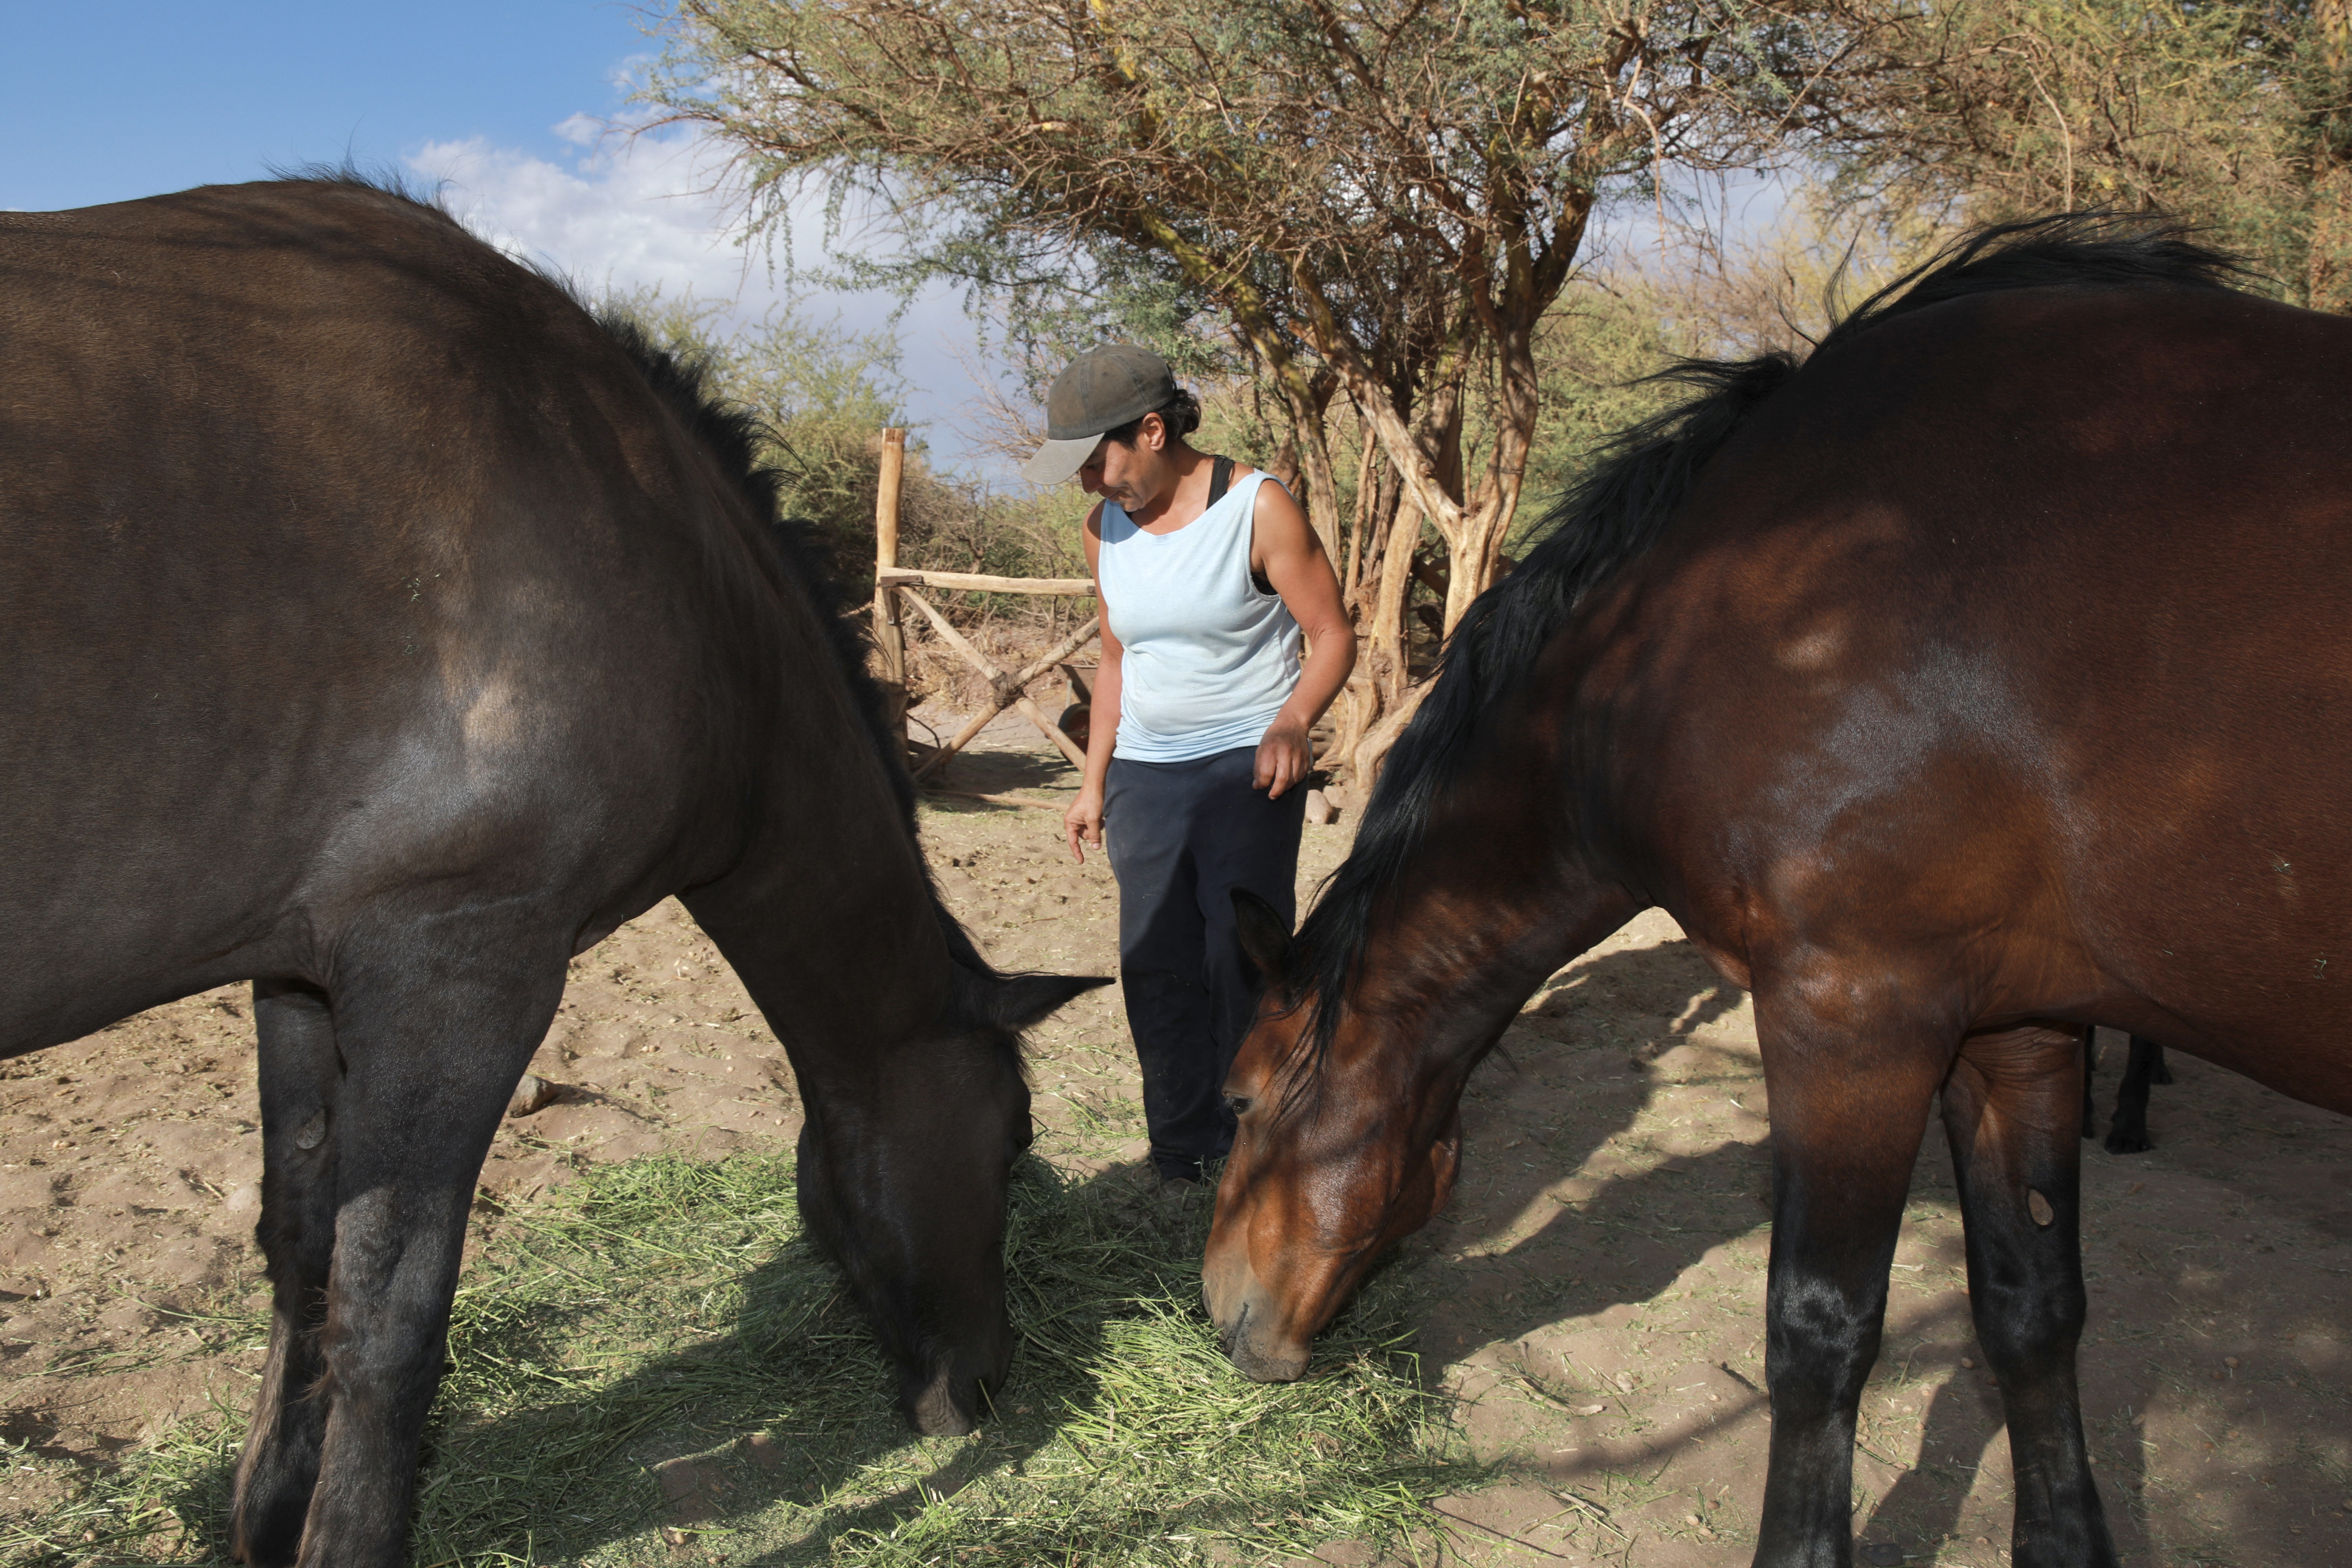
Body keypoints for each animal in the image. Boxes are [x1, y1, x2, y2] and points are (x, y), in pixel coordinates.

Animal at [0, 177, 1102, 1568]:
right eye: (1013, 1139)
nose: (985, 1381)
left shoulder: (302, 973)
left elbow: (301, 1254)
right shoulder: (461, 967)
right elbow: (392, 1314)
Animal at [1200, 216, 2352, 1568]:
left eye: (1237, 1099)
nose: (1220, 1310)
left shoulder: (1850, 1017)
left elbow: (1818, 1333)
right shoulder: (2014, 1027)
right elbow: (2031, 1304)